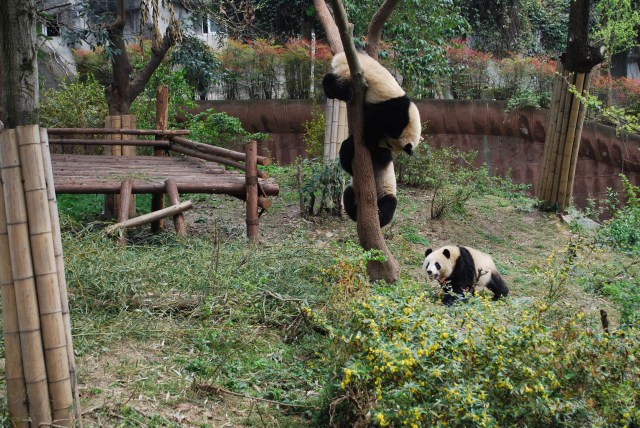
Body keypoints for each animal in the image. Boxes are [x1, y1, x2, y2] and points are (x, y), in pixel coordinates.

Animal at [322, 51, 421, 227]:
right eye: (389, 144)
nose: (381, 145)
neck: (410, 122)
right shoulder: (394, 114)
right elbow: (371, 123)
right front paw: (366, 142)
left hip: (387, 191)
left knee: (389, 203)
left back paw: (379, 215)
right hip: (349, 75)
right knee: (348, 194)